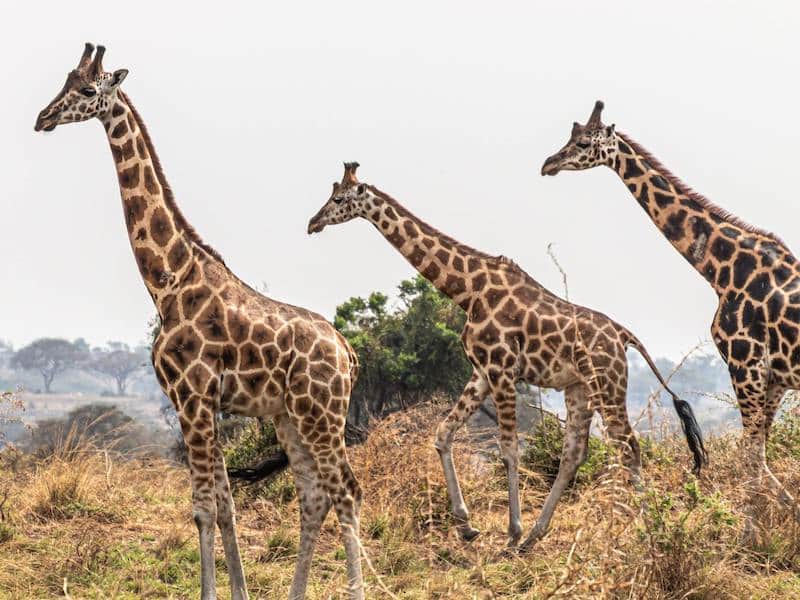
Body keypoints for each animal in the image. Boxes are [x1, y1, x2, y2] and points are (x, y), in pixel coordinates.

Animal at [33, 43, 366, 600]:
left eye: (87, 89)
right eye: (63, 81)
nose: (43, 117)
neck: (167, 281)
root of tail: (349, 352)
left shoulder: (191, 396)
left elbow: (204, 508)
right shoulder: (202, 402)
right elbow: (225, 505)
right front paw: (239, 591)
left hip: (322, 415)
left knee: (348, 493)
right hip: (290, 417)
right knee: (314, 497)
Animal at [306, 162, 708, 552]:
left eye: (340, 199)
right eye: (331, 193)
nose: (313, 223)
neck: (467, 290)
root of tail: (624, 335)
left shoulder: (501, 369)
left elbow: (510, 449)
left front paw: (511, 531)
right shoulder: (481, 372)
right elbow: (443, 433)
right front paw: (467, 525)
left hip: (608, 384)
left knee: (629, 447)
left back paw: (649, 528)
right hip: (579, 388)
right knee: (575, 453)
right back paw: (536, 536)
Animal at [540, 101, 800, 540]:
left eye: (584, 143)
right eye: (570, 137)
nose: (548, 163)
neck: (719, 270)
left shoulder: (745, 364)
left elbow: (751, 456)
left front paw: (749, 536)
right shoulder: (773, 377)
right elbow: (757, 453)